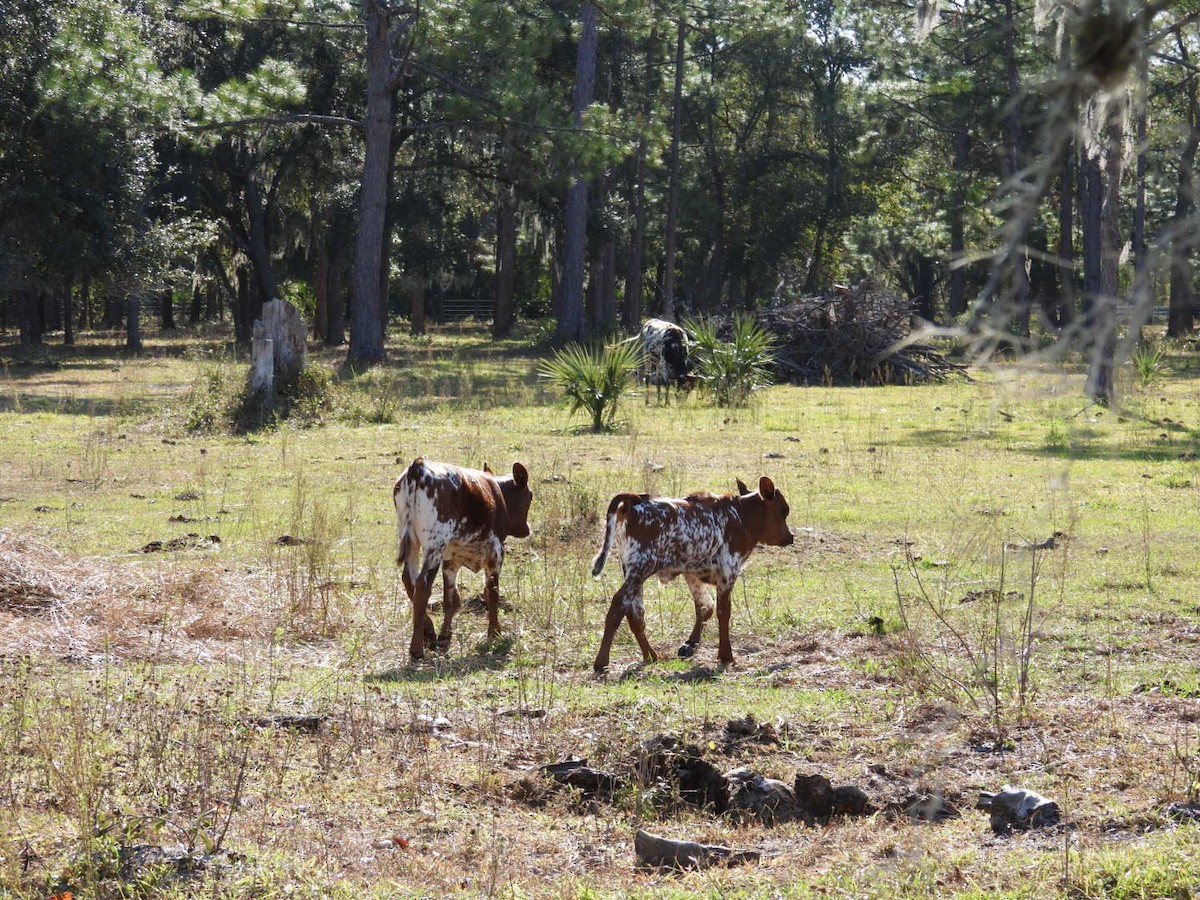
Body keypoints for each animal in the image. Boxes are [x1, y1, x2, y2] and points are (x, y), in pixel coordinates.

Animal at [393, 457, 532, 660]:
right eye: (530, 496)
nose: (526, 529)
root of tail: (418, 466)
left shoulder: (450, 561)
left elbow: (452, 599)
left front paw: (444, 637)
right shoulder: (496, 553)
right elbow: (492, 593)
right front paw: (494, 633)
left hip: (412, 541)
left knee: (408, 580)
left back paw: (429, 632)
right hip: (435, 544)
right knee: (422, 584)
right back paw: (417, 648)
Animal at [590, 476, 793, 673]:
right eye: (784, 511)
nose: (790, 537)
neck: (741, 517)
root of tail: (635, 499)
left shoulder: (693, 574)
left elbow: (704, 607)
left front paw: (690, 644)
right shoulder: (727, 573)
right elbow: (723, 611)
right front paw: (726, 655)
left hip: (632, 572)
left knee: (635, 614)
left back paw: (651, 655)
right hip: (640, 569)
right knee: (618, 605)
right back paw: (601, 661)